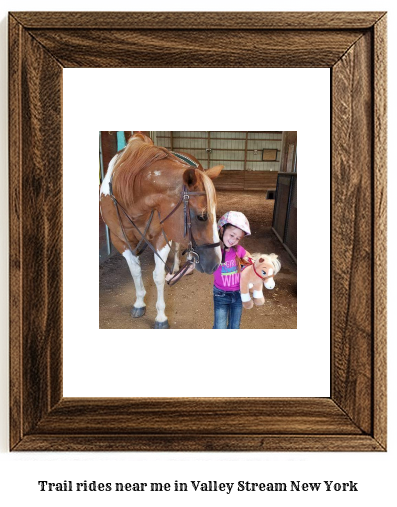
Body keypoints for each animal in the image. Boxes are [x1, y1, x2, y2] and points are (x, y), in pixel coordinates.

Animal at [100, 132, 223, 330]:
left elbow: (158, 276)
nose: (216, 263)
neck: (130, 197)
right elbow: (135, 271)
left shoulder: (161, 238)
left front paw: (160, 317)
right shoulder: (120, 240)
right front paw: (139, 303)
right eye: (202, 216)